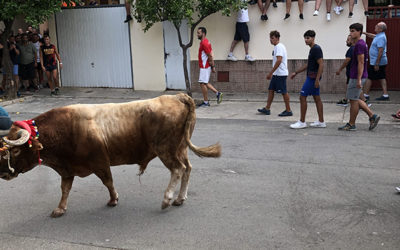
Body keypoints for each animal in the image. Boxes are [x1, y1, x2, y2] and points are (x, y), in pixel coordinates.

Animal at [0, 93, 222, 217]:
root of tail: (177, 96)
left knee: (178, 169)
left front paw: (114, 199)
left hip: (165, 149)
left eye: (16, 150)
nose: (3, 174)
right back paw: (180, 198)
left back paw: (167, 199)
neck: (65, 127)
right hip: (180, 148)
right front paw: (60, 209)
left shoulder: (99, 162)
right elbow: (65, 189)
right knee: (188, 169)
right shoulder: (67, 168)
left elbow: (108, 181)